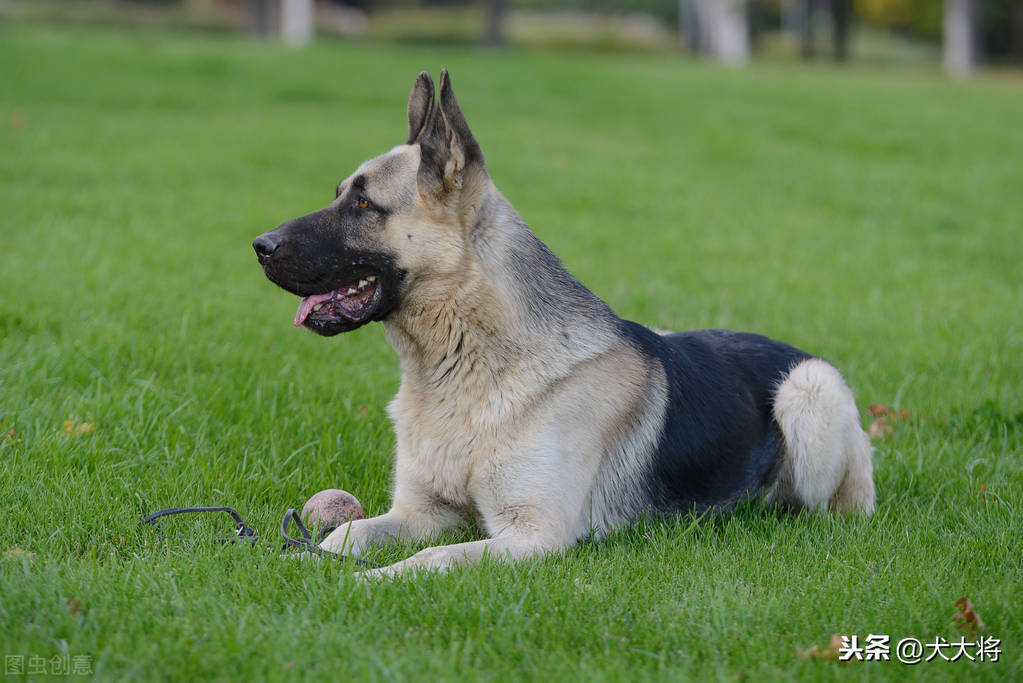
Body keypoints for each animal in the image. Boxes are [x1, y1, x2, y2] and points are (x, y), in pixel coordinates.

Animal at [251, 72, 875, 580]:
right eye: (341, 195)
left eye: (363, 205)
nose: (259, 246)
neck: (465, 367)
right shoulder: (419, 512)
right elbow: (345, 533)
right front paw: (303, 559)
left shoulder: (531, 535)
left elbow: (435, 557)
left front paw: (370, 581)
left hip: (808, 389)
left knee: (821, 509)